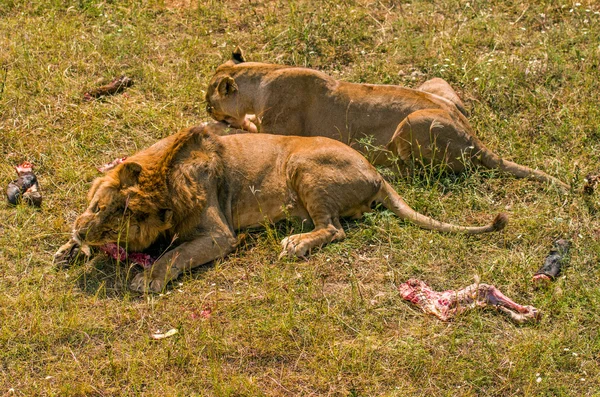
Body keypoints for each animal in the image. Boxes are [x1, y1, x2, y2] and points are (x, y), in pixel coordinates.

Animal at [55, 124, 506, 294]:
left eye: (118, 226)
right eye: (97, 205)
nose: (83, 232)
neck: (165, 174)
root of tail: (376, 172)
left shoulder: (220, 235)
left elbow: (176, 254)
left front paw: (148, 279)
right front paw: (68, 250)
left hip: (303, 165)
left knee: (334, 229)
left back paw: (296, 243)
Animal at [205, 48, 568, 190]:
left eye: (209, 104)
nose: (206, 109)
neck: (264, 75)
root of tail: (475, 139)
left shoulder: (278, 131)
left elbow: (238, 134)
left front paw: (213, 128)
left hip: (415, 121)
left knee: (420, 173)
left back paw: (387, 170)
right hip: (435, 85)